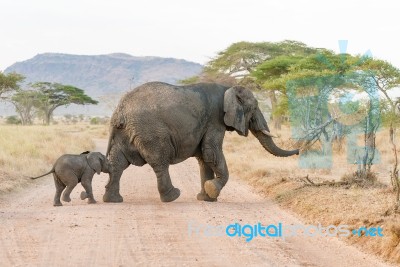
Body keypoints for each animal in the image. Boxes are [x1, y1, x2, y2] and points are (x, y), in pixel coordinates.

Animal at [104, 81, 298, 203]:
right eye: (255, 107)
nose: (298, 151)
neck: (228, 88)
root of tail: (120, 111)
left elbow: (204, 158)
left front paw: (207, 198)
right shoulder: (215, 120)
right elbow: (211, 152)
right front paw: (212, 190)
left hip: (125, 132)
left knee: (117, 163)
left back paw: (113, 200)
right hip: (151, 132)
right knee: (160, 161)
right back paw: (172, 196)